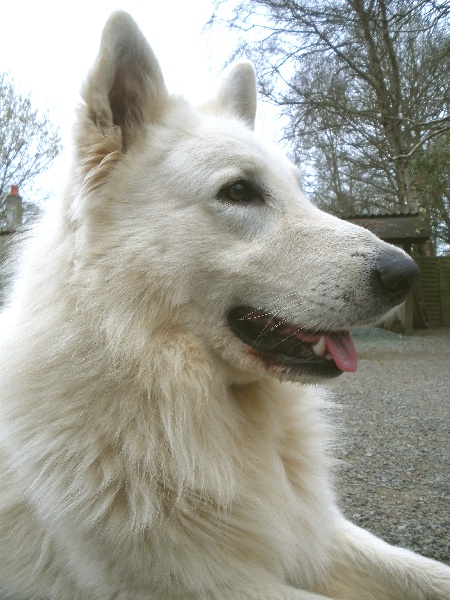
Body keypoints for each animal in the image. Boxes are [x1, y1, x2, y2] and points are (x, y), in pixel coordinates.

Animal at [0, 10, 448, 600]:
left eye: (300, 190)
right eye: (238, 192)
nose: (406, 274)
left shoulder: (316, 531)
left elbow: (422, 571)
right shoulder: (205, 583)